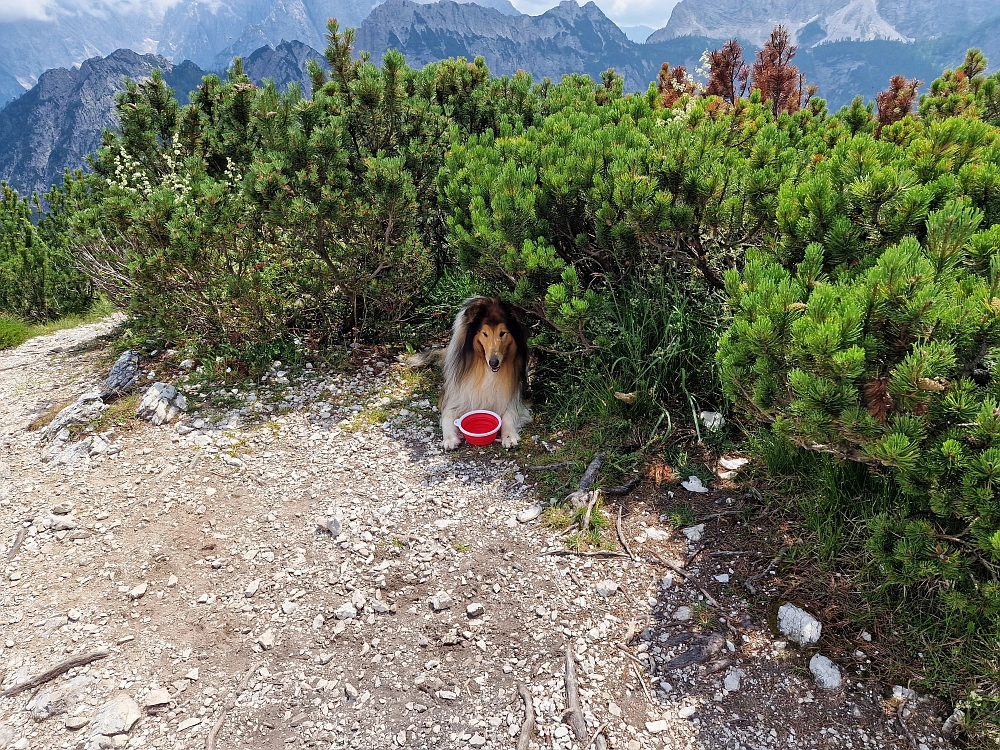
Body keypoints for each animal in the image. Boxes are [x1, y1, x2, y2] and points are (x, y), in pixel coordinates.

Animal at [420, 298, 532, 452]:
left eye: (502, 333)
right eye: (485, 333)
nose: (494, 362)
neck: (485, 368)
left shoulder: (514, 398)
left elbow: (509, 415)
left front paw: (509, 436)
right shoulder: (454, 396)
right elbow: (447, 416)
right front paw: (449, 439)